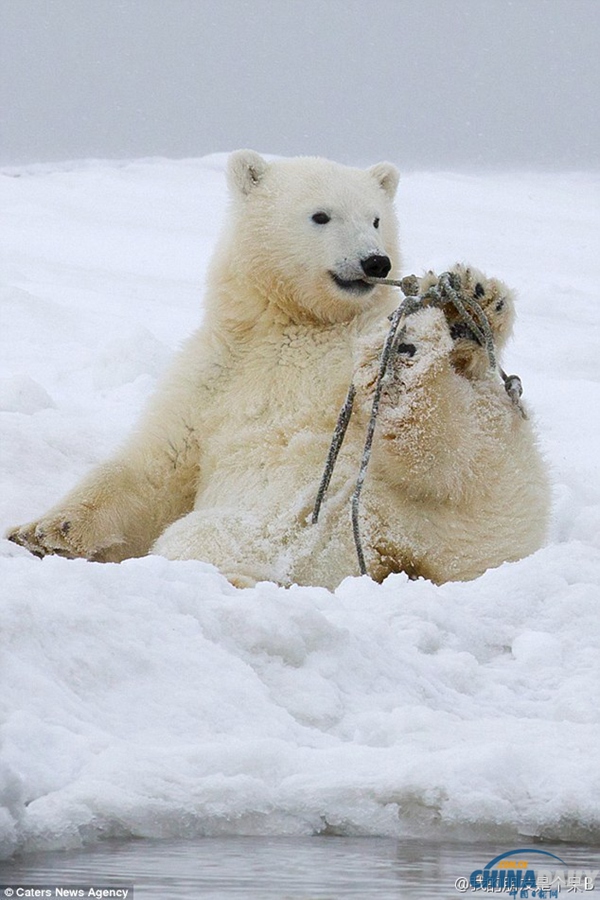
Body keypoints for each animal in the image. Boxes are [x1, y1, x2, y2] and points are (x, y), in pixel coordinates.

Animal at [5, 151, 548, 588]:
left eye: (376, 218)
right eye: (321, 215)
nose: (376, 262)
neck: (301, 324)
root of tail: (389, 556)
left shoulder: (346, 347)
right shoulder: (216, 373)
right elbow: (155, 469)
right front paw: (42, 532)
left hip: (478, 507)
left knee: (468, 449)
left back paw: (461, 317)